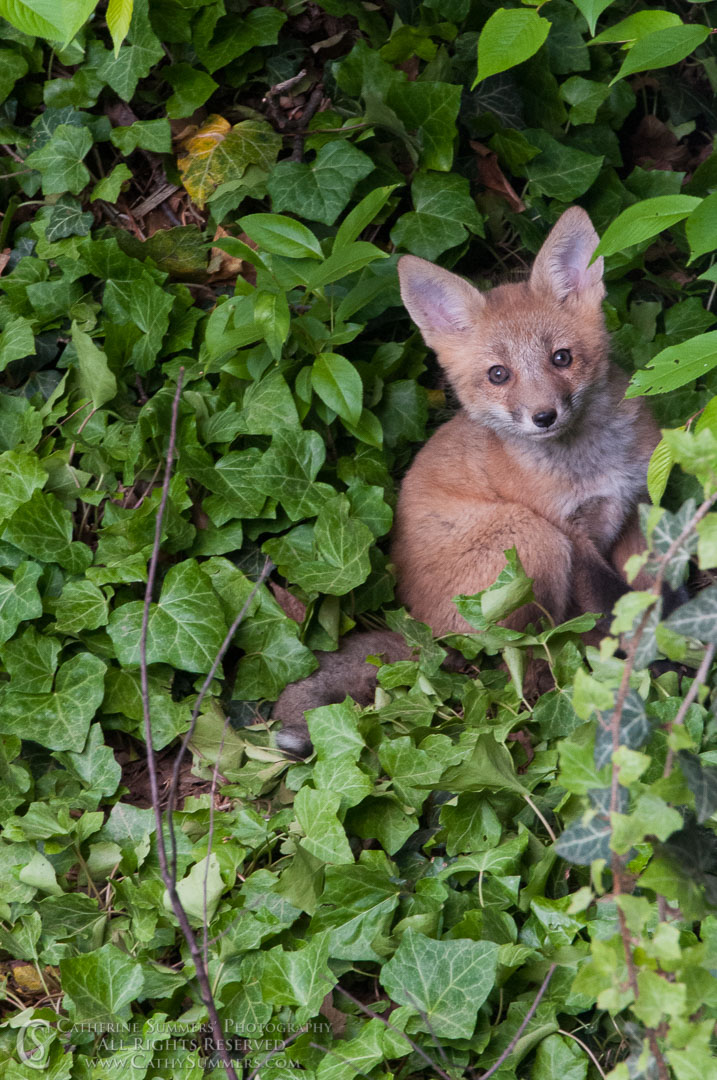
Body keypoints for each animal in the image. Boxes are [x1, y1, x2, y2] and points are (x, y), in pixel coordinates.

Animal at [274, 207, 660, 755]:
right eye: (499, 374)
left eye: (561, 358)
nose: (544, 416)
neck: (590, 464)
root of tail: (421, 629)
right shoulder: (572, 533)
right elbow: (611, 608)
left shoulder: (636, 506)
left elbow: (642, 593)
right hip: (533, 538)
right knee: (522, 653)